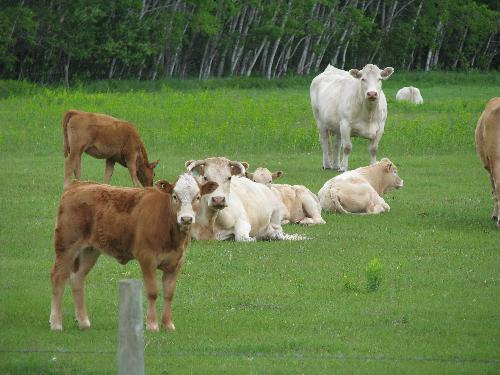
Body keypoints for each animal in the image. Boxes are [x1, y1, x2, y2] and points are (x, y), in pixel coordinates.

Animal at [49, 175, 219, 334]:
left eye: (198, 197)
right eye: (175, 196)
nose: (186, 218)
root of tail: (78, 184)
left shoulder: (176, 262)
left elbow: (169, 293)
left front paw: (168, 324)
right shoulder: (147, 258)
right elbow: (152, 291)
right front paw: (152, 325)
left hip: (89, 251)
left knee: (77, 279)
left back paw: (83, 322)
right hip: (66, 245)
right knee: (58, 278)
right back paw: (56, 323)